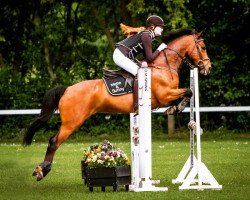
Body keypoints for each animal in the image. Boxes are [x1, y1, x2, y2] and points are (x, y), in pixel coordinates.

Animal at [23, 28, 212, 180]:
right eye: (203, 47)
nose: (208, 68)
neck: (163, 67)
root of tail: (68, 89)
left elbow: (189, 91)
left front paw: (174, 109)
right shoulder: (164, 95)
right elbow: (189, 91)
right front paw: (175, 108)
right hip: (72, 122)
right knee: (54, 141)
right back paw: (42, 170)